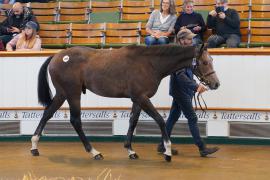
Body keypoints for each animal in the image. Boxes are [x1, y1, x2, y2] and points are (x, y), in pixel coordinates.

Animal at [30, 44, 219, 162]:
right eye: (204, 62)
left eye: (211, 61)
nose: (216, 84)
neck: (149, 63)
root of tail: (57, 56)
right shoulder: (142, 97)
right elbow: (160, 119)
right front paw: (167, 151)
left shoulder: (137, 99)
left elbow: (133, 121)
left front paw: (130, 150)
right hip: (73, 93)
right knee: (75, 120)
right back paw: (94, 152)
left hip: (62, 94)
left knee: (47, 113)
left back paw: (34, 147)